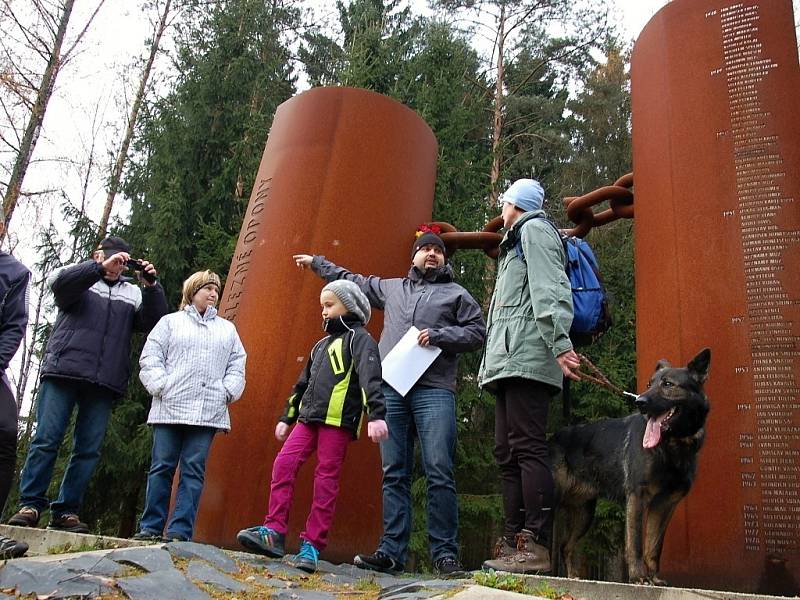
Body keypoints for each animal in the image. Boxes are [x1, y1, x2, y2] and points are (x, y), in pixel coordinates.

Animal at [552, 350, 712, 584]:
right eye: (649, 384)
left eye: (668, 384)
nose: (640, 402)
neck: (671, 445)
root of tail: (553, 438)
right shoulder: (637, 496)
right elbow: (635, 543)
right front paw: (638, 576)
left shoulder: (664, 505)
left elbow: (653, 546)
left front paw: (654, 578)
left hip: (584, 514)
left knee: (566, 546)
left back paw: (573, 577)